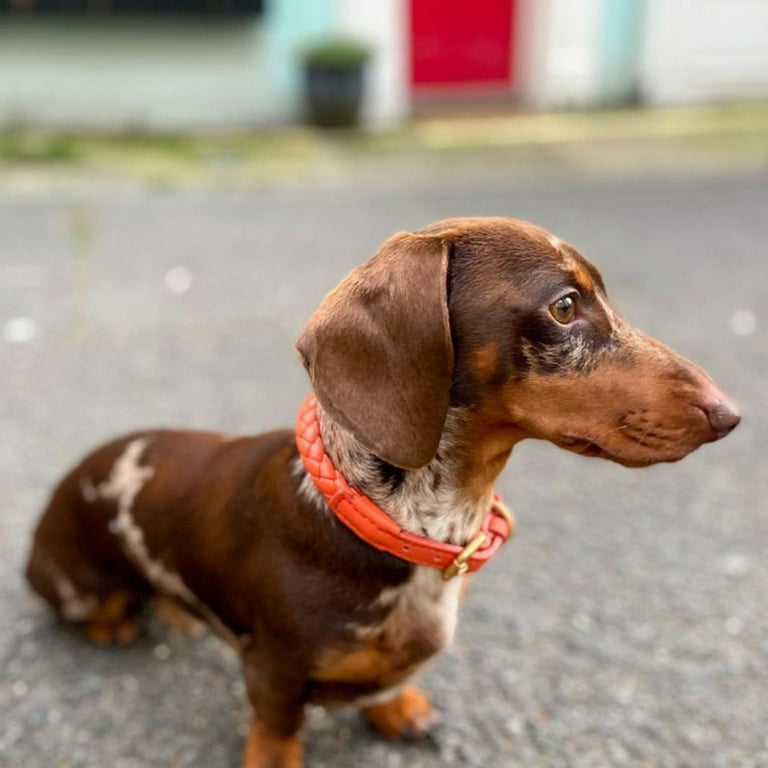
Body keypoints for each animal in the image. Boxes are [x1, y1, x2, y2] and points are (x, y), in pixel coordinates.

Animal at [27, 218, 740, 768]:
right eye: (565, 305)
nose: (730, 414)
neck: (411, 525)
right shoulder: (273, 671)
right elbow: (277, 732)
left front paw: (398, 706)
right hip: (77, 588)